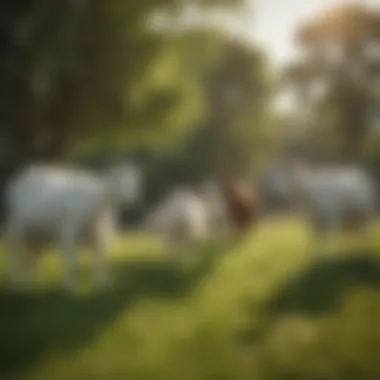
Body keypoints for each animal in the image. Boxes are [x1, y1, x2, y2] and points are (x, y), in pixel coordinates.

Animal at [3, 163, 143, 290]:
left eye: (134, 180)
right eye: (119, 179)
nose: (131, 198)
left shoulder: (96, 234)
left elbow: (100, 257)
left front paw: (102, 283)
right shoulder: (68, 231)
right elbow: (71, 259)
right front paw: (69, 285)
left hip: (37, 234)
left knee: (33, 255)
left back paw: (33, 281)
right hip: (16, 228)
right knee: (16, 253)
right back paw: (19, 283)